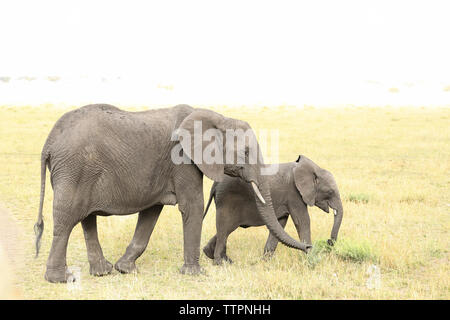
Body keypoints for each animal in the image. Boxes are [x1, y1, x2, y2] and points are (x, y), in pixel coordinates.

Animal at [35, 104, 312, 282]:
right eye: (245, 152)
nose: (310, 248)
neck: (217, 117)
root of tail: (48, 142)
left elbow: (151, 212)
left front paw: (126, 270)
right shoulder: (183, 161)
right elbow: (193, 207)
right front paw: (195, 274)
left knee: (86, 218)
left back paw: (103, 272)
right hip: (74, 169)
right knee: (67, 219)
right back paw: (59, 279)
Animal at [202, 156, 342, 264]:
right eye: (330, 192)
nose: (328, 241)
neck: (314, 168)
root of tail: (215, 185)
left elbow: (280, 223)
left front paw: (265, 262)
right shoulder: (294, 194)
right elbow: (302, 222)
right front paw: (311, 260)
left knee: (225, 229)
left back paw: (220, 257)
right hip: (228, 200)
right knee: (225, 228)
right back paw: (220, 263)